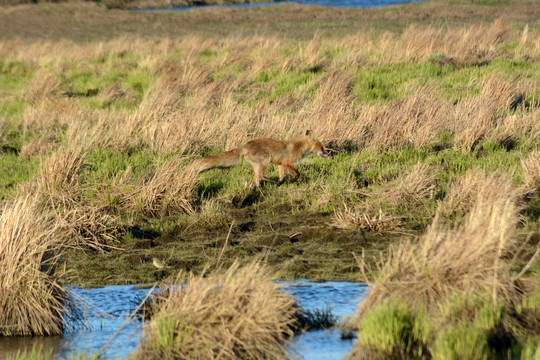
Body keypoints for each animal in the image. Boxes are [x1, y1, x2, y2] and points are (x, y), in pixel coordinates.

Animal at [188, 130, 332, 187]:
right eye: (322, 147)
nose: (328, 153)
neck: (300, 147)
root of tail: (245, 145)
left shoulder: (280, 164)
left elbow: (282, 176)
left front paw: (281, 183)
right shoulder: (287, 163)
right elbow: (297, 173)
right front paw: (290, 180)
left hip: (257, 165)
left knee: (256, 179)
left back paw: (259, 189)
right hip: (265, 161)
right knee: (262, 176)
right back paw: (270, 182)